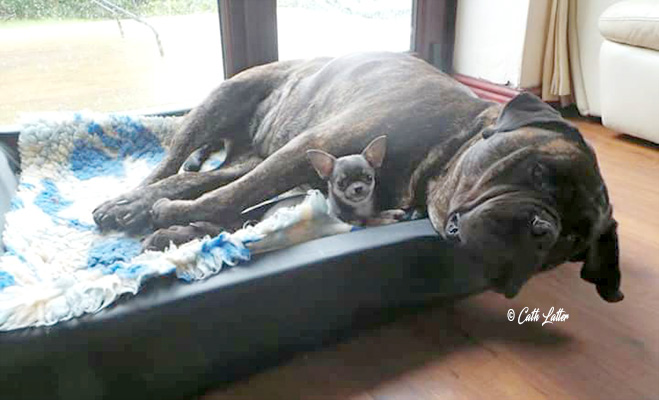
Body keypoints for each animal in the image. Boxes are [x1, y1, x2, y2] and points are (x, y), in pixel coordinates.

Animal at [92, 52, 623, 302]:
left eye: (573, 242)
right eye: (540, 172)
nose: (543, 230)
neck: (445, 148)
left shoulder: (299, 176)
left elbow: (242, 208)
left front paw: (180, 231)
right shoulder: (307, 150)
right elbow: (233, 199)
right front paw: (169, 220)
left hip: (254, 150)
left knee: (205, 177)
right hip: (228, 97)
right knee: (172, 163)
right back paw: (130, 201)